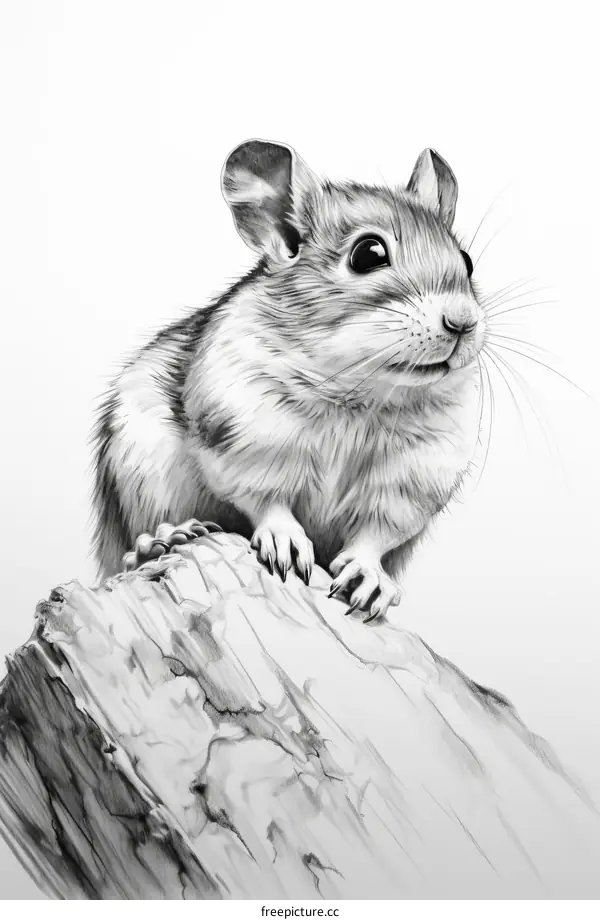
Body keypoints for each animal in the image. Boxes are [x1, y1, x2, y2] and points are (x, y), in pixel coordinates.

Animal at [91, 139, 486, 622]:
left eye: (466, 261)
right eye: (368, 254)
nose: (462, 322)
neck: (359, 392)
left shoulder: (408, 486)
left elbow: (374, 535)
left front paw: (369, 581)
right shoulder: (244, 442)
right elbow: (268, 502)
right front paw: (285, 544)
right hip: (142, 480)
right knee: (129, 550)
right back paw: (161, 541)